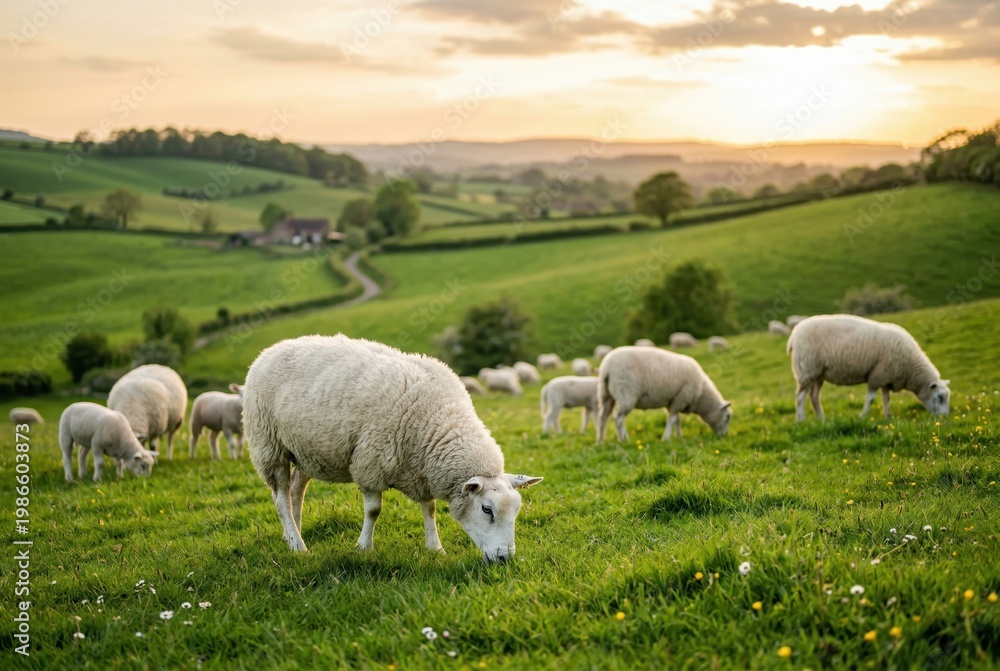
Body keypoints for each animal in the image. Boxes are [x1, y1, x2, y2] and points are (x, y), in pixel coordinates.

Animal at [243, 335, 542, 562]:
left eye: (516, 511)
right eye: (487, 509)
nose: (504, 559)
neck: (439, 420)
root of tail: (272, 348)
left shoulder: (422, 469)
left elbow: (430, 509)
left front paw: (436, 548)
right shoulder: (370, 464)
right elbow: (374, 511)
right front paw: (363, 547)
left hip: (306, 451)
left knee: (296, 491)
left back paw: (293, 532)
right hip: (269, 445)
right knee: (281, 498)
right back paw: (297, 545)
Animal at [597, 346, 732, 442]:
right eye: (727, 417)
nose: (724, 436)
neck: (701, 396)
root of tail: (606, 367)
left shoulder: (673, 400)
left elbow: (677, 420)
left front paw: (679, 436)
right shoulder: (681, 397)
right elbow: (672, 420)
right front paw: (666, 438)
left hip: (606, 395)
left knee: (602, 417)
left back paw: (600, 441)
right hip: (626, 393)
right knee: (618, 418)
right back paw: (624, 439)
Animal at [787, 314, 950, 421]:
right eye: (940, 397)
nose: (945, 418)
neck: (910, 368)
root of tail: (794, 335)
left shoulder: (886, 377)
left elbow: (886, 398)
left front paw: (888, 417)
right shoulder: (877, 375)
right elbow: (871, 399)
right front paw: (862, 416)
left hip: (818, 374)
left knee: (813, 395)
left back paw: (821, 418)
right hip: (806, 369)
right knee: (800, 396)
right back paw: (800, 420)